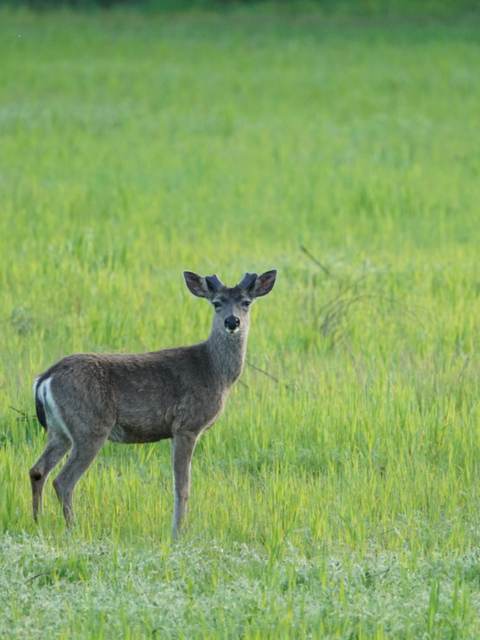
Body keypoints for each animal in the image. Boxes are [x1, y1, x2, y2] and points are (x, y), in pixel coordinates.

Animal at [29, 269, 277, 538]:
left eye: (246, 302)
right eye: (216, 303)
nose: (232, 322)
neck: (215, 372)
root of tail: (46, 378)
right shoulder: (187, 426)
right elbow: (182, 487)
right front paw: (177, 533)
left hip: (60, 431)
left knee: (38, 471)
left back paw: (37, 521)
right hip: (90, 428)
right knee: (63, 480)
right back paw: (74, 528)